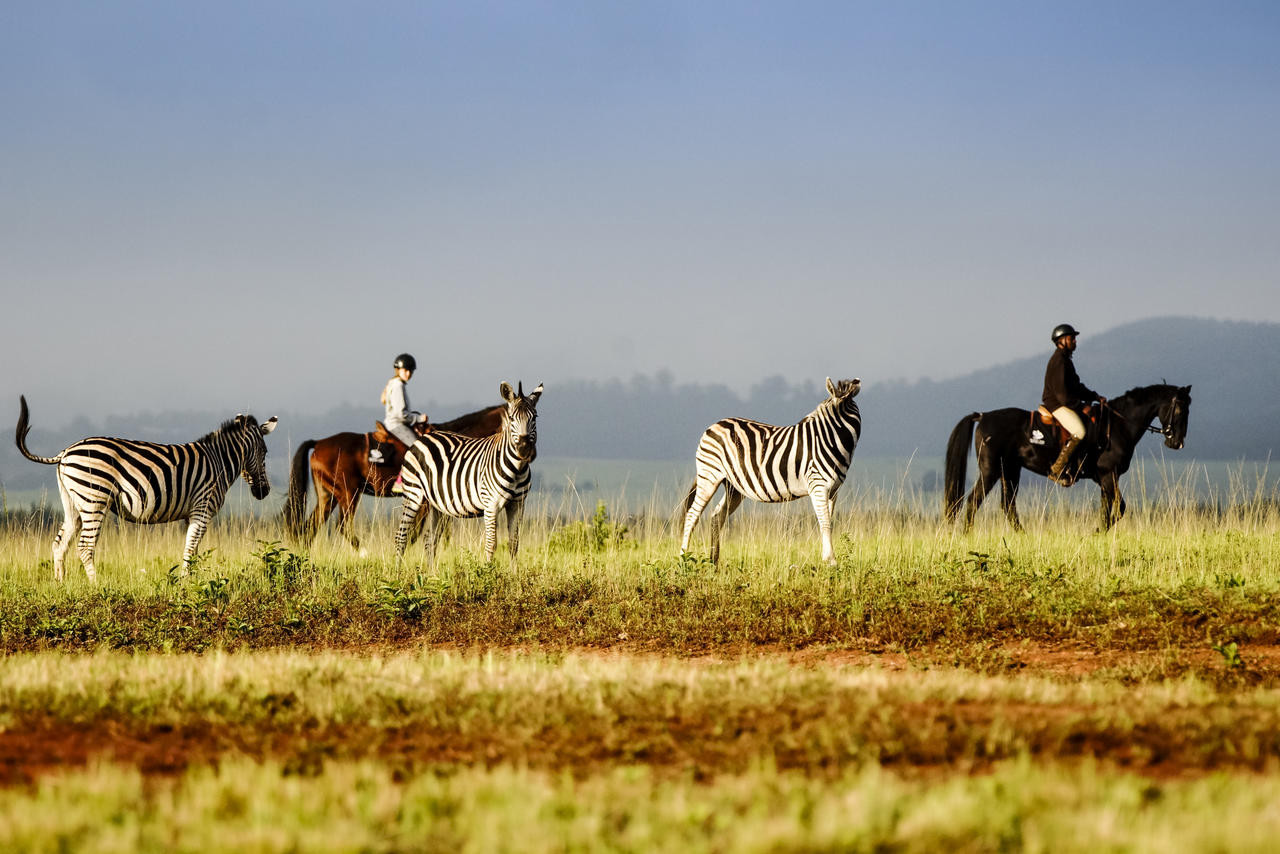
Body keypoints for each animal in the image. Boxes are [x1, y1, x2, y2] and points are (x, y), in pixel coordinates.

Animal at [14, 394, 277, 581]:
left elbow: (191, 549)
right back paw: (96, 586)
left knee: (59, 545)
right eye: (265, 452)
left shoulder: (191, 513)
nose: (264, 492)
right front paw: (186, 582)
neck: (218, 461)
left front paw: (189, 579)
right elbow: (190, 548)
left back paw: (60, 584)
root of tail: (65, 452)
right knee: (85, 546)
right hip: (94, 498)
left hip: (73, 504)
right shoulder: (203, 507)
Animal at [282, 407, 501, 547]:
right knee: (342, 527)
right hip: (349, 494)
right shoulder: (426, 502)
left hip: (328, 495)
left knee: (311, 527)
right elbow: (417, 532)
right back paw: (365, 553)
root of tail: (318, 443)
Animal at [394, 381, 545, 568]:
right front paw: (488, 573)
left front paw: (514, 573)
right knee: (401, 537)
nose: (524, 449)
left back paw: (432, 574)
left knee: (430, 540)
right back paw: (397, 573)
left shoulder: (518, 504)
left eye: (535, 417)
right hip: (413, 494)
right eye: (511, 418)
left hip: (436, 503)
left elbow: (514, 543)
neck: (517, 469)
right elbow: (491, 543)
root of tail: (423, 438)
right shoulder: (491, 505)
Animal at [680, 378, 860, 568]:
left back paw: (713, 561)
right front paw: (831, 561)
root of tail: (714, 425)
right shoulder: (818, 485)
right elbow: (825, 523)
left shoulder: (833, 490)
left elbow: (828, 521)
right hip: (709, 475)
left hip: (733, 486)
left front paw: (827, 560)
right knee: (692, 515)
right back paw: (683, 558)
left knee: (717, 516)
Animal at [942, 384, 1187, 530]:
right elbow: (1119, 508)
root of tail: (983, 416)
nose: (1176, 443)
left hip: (1010, 471)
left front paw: (1098, 533)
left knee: (1008, 505)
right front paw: (1098, 532)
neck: (1119, 425)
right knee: (974, 501)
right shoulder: (1109, 476)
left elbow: (1107, 509)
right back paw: (966, 535)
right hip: (991, 470)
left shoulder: (1105, 479)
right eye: (1178, 409)